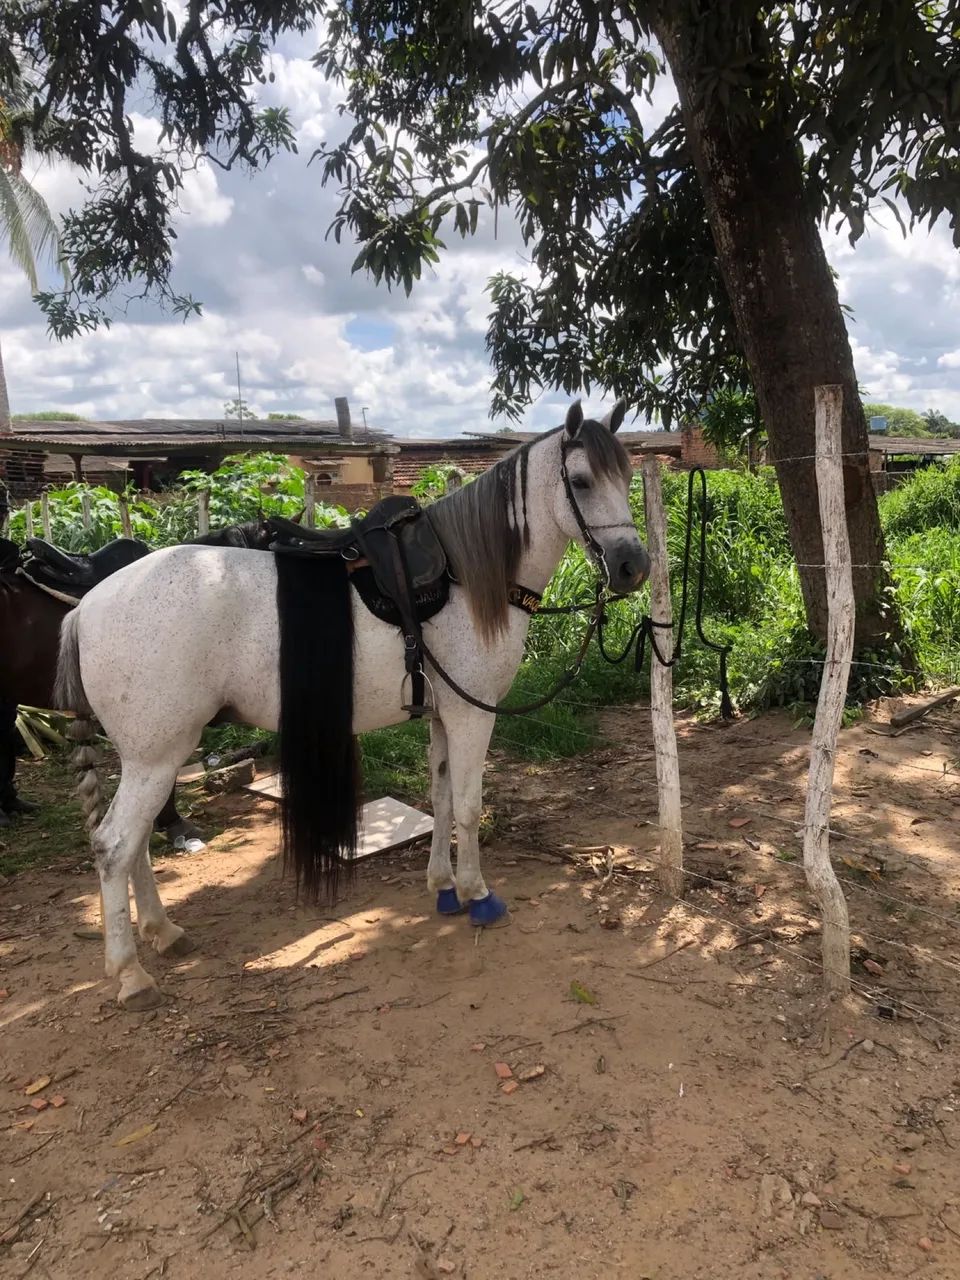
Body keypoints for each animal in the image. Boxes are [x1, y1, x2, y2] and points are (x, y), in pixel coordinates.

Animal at [55, 401, 650, 1010]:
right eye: (581, 481)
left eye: (627, 476)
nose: (634, 567)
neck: (464, 576)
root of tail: (87, 605)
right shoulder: (472, 714)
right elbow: (467, 806)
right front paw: (477, 894)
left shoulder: (442, 716)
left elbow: (440, 797)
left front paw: (442, 887)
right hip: (156, 757)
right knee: (113, 845)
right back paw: (130, 973)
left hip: (151, 758)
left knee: (136, 845)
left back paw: (163, 931)